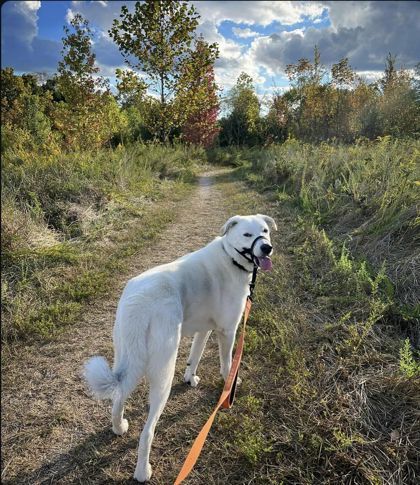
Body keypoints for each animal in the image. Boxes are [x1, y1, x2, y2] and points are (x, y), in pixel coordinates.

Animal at [84, 214, 278, 482]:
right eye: (247, 235)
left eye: (265, 231)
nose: (266, 248)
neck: (230, 257)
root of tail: (139, 303)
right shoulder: (227, 332)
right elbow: (227, 363)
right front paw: (229, 384)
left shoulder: (204, 330)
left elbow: (195, 356)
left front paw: (190, 378)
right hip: (163, 372)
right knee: (147, 431)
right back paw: (143, 471)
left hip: (128, 359)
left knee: (118, 397)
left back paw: (118, 427)